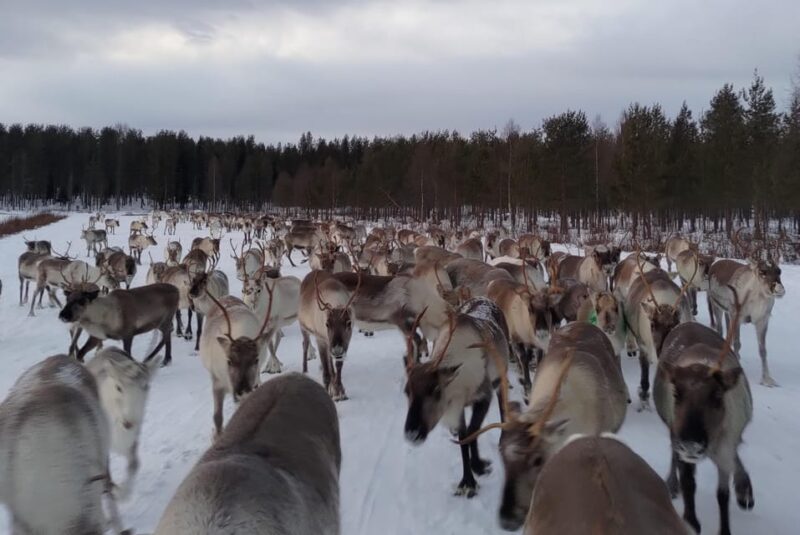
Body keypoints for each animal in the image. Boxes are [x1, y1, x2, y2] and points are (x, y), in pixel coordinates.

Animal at [85, 347, 159, 499]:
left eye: (146, 386)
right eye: (118, 387)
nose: (129, 422)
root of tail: (109, 348)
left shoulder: (132, 439)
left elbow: (134, 465)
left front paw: (122, 493)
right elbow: (105, 474)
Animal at [404, 298, 511, 498]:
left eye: (436, 389)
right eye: (407, 391)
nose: (412, 433)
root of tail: (485, 298)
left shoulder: (483, 396)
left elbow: (471, 432)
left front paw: (476, 471)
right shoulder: (457, 406)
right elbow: (463, 436)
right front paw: (468, 479)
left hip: (501, 375)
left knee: (502, 403)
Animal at [654, 305, 754, 535]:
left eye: (717, 396)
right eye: (676, 393)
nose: (692, 443)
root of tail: (688, 322)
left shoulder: (726, 446)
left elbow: (723, 495)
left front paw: (725, 528)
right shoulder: (679, 438)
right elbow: (689, 483)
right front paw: (691, 521)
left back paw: (744, 489)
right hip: (674, 431)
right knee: (674, 457)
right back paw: (672, 484)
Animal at [708, 255, 785, 386]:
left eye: (779, 271)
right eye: (762, 272)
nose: (779, 290)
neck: (758, 299)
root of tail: (715, 263)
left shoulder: (762, 320)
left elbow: (763, 350)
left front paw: (767, 379)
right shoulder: (737, 316)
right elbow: (737, 343)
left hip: (728, 313)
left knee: (727, 330)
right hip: (717, 306)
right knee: (720, 329)